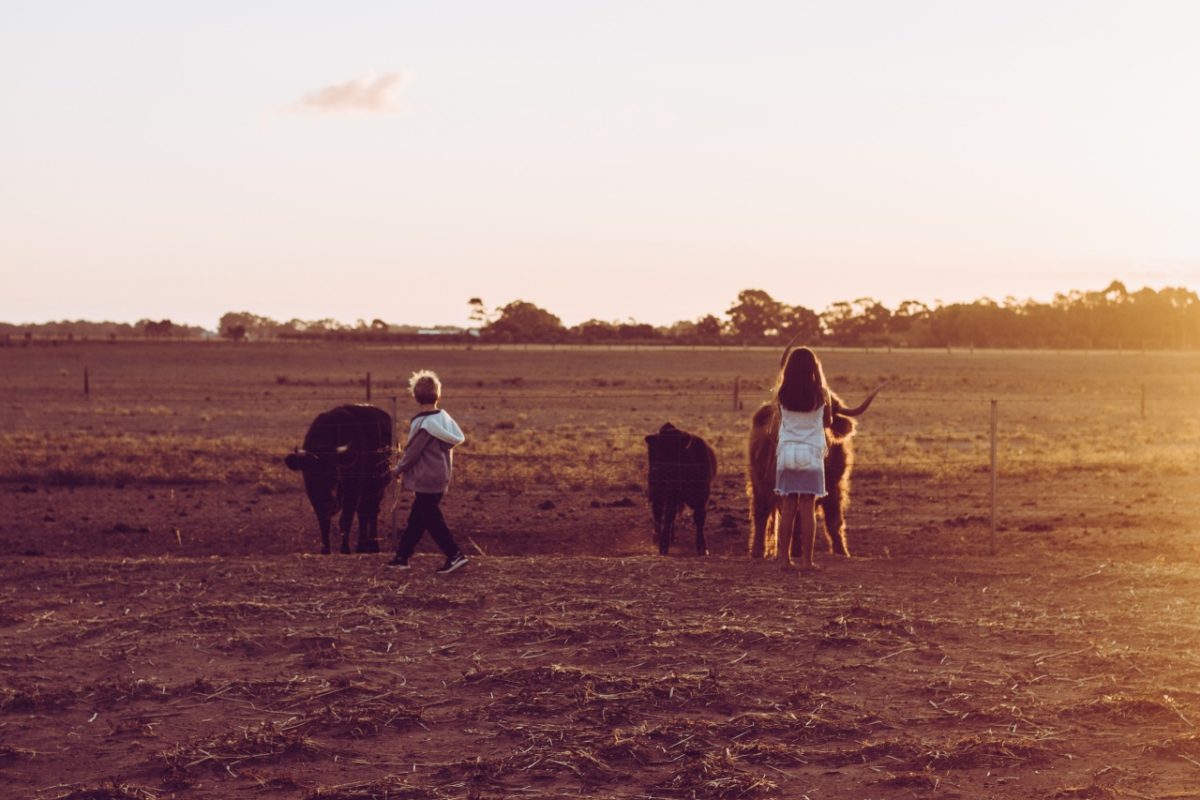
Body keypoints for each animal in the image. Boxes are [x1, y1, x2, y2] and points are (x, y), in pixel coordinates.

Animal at [282, 402, 391, 554]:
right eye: (310, 475)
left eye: (336, 473)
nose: (328, 502)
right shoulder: (315, 497)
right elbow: (324, 522)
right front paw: (325, 550)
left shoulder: (352, 491)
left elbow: (345, 520)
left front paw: (345, 549)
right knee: (363, 513)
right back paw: (362, 546)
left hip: (378, 487)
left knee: (371, 511)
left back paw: (372, 546)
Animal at [643, 424, 715, 556]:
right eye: (658, 451)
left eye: (676, 451)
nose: (658, 470)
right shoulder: (670, 494)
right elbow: (668, 516)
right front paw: (663, 545)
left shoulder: (702, 495)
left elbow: (699, 517)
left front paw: (702, 546)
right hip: (657, 493)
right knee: (658, 513)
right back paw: (657, 536)